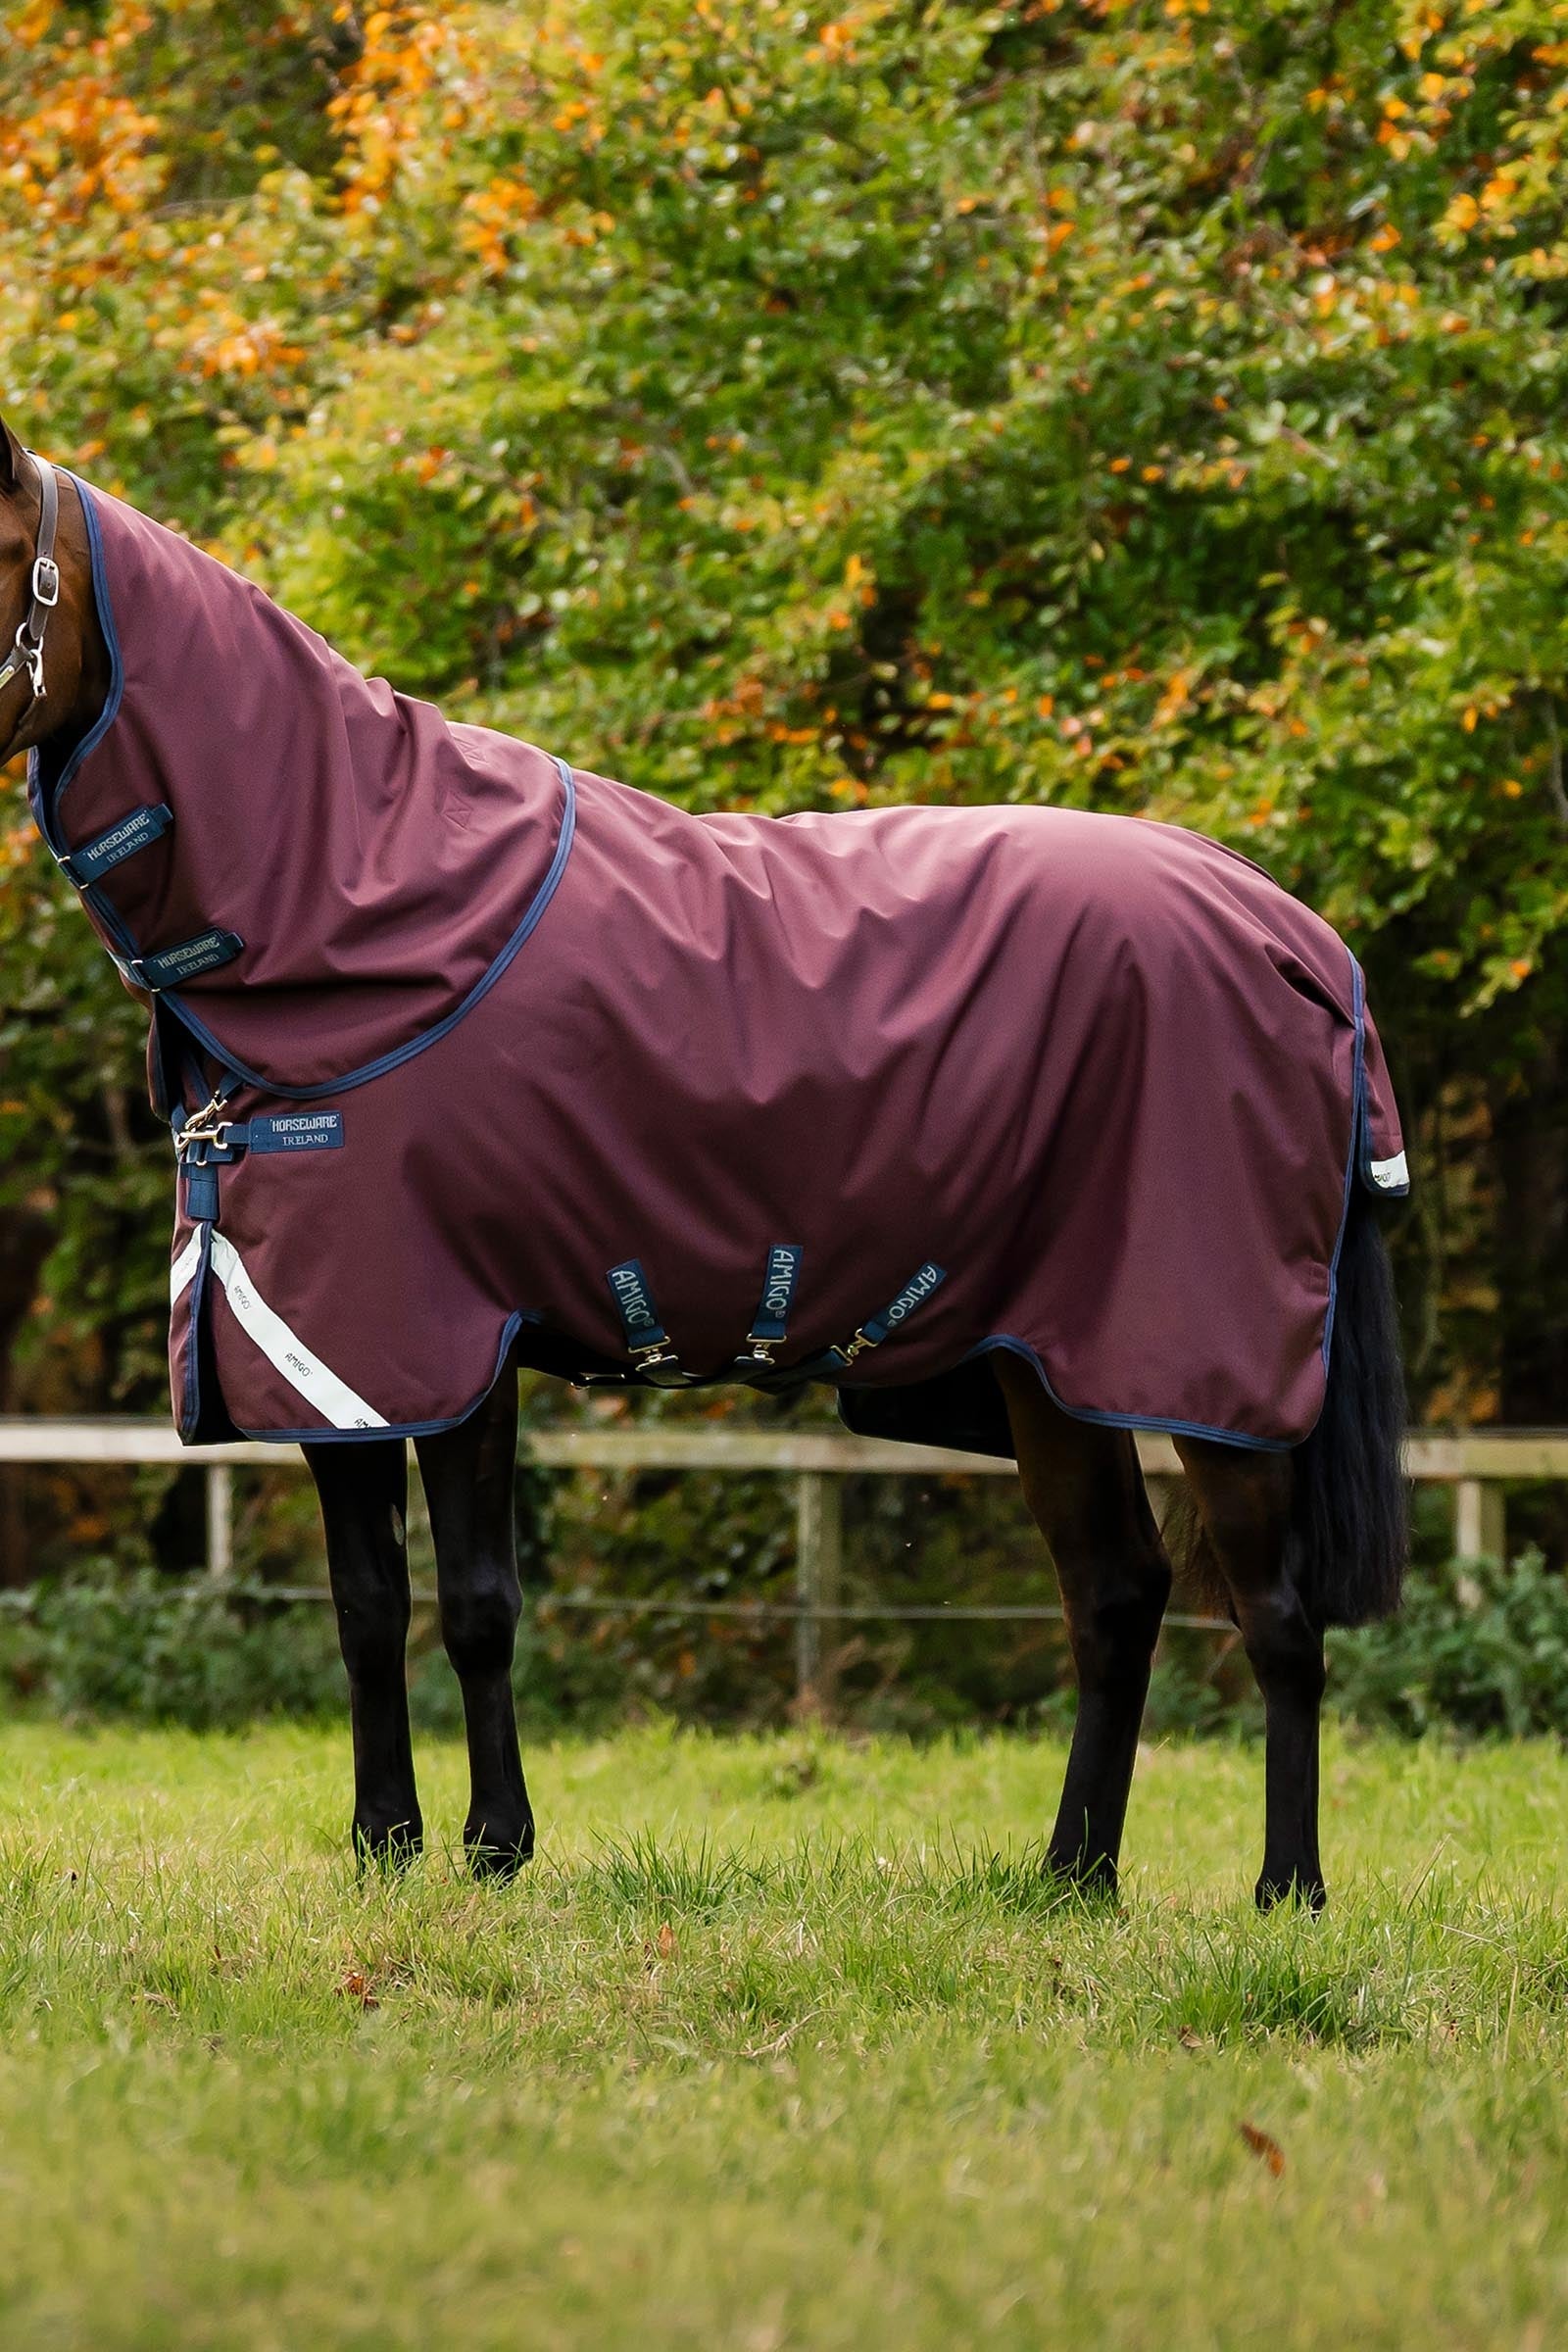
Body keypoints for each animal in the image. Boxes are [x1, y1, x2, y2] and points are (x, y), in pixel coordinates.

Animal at [0, 425, 1408, 1908]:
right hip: (1055, 1371)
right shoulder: (334, 1359)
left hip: (1209, 1365)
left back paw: (1286, 1893)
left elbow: (478, 1606)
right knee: (1117, 1594)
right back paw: (1072, 1877)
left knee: (1277, 1617)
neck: (356, 908)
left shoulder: (451, 1340)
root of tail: (1298, 936)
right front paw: (386, 1845)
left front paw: (495, 1850)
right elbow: (369, 1607)